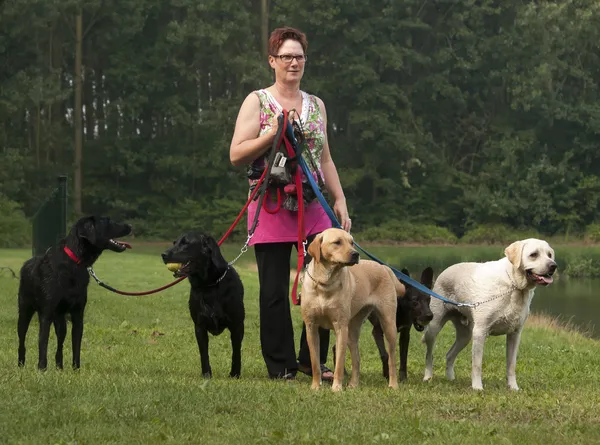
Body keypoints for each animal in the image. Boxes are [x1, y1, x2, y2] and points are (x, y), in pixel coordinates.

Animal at [17, 215, 131, 368]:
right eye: (107, 221)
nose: (130, 226)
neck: (73, 263)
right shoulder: (46, 314)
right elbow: (43, 343)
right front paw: (42, 369)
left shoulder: (78, 315)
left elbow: (76, 346)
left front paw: (76, 369)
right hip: (24, 312)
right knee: (21, 340)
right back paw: (21, 365)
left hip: (61, 321)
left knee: (60, 344)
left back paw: (59, 367)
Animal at [162, 229, 244, 378]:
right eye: (174, 242)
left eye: (185, 243)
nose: (163, 255)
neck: (209, 285)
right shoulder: (199, 327)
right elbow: (204, 353)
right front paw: (206, 375)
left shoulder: (237, 326)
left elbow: (236, 352)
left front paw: (235, 374)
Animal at [300, 227, 408, 390]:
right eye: (337, 242)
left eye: (352, 242)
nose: (355, 254)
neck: (326, 282)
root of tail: (384, 267)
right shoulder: (311, 327)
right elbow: (314, 362)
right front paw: (315, 387)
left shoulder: (340, 327)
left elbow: (339, 363)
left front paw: (336, 388)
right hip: (353, 329)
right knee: (356, 359)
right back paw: (353, 384)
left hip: (388, 324)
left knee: (392, 359)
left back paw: (393, 384)